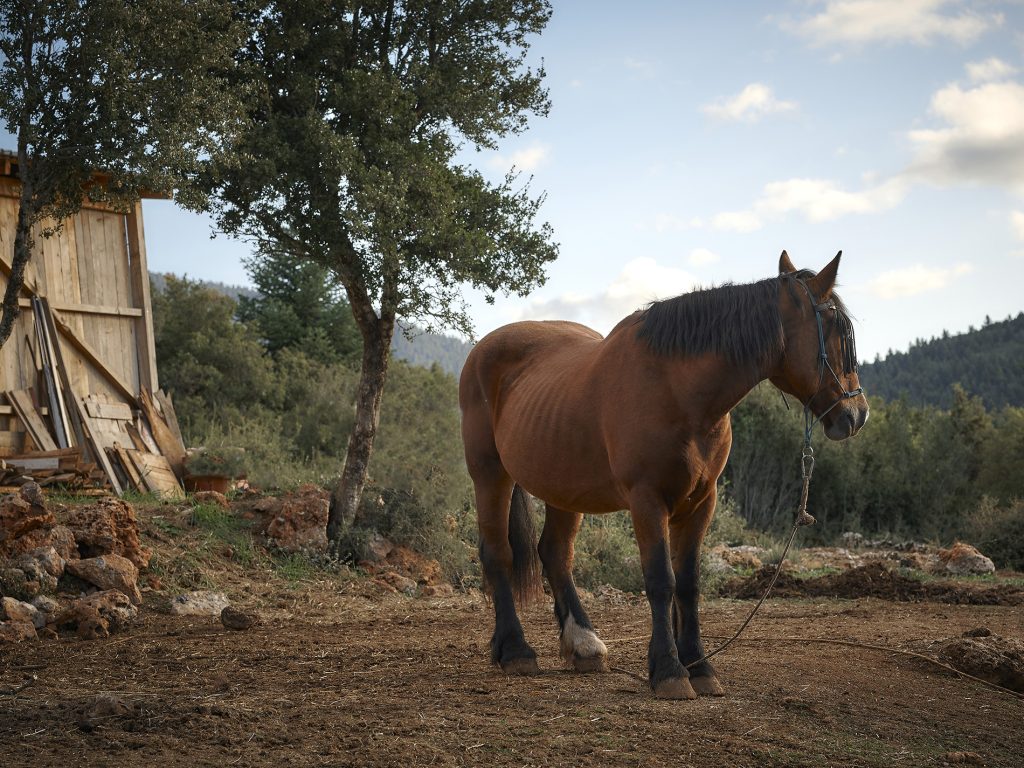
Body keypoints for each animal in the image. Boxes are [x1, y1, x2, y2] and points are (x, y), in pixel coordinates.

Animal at [458, 250, 869, 699]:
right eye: (839, 333)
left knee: (555, 554)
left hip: (563, 487)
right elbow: (660, 580)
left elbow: (688, 584)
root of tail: (484, 350)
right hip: (490, 475)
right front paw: (670, 670)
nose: (857, 414)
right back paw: (516, 651)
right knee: (498, 553)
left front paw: (700, 667)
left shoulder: (700, 501)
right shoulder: (647, 499)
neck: (677, 389)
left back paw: (584, 645)